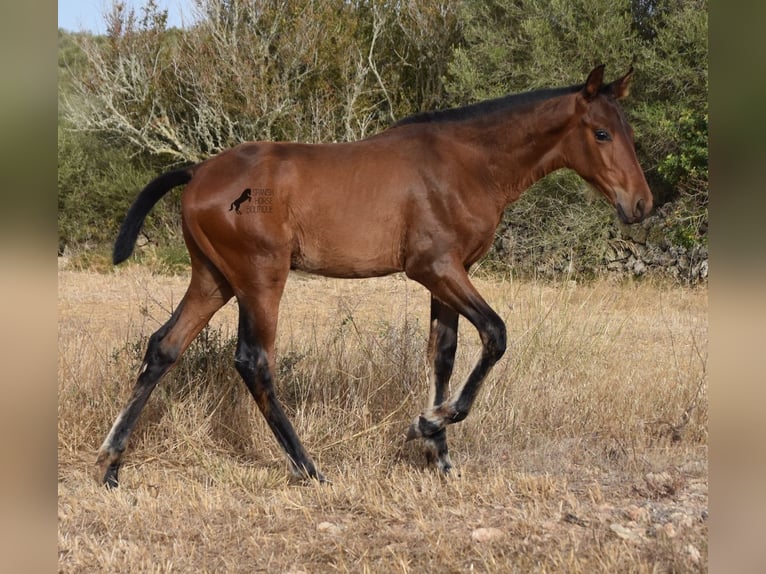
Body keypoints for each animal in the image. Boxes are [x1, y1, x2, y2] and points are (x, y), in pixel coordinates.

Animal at [96, 65, 656, 488]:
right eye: (601, 133)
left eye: (629, 133)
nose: (641, 205)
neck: (467, 163)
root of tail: (198, 172)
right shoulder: (434, 268)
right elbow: (495, 335)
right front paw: (427, 424)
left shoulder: (449, 275)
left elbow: (443, 354)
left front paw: (439, 453)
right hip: (260, 278)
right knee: (253, 361)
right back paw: (309, 468)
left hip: (214, 279)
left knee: (164, 347)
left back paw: (110, 465)